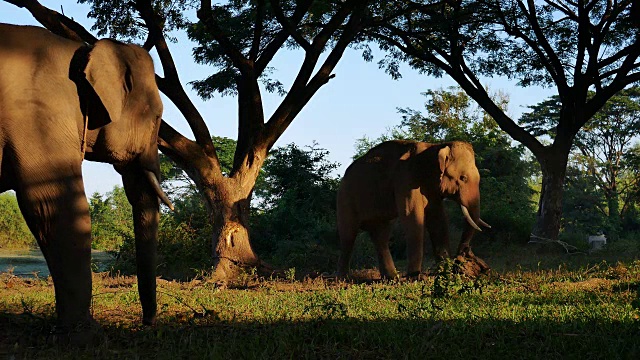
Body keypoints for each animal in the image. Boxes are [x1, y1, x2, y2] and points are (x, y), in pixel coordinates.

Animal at [338, 141, 492, 278]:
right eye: (463, 178)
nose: (462, 254)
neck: (435, 147)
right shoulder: (406, 180)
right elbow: (412, 216)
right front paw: (415, 277)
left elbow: (438, 219)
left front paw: (444, 270)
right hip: (345, 197)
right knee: (348, 235)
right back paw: (344, 279)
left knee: (381, 235)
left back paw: (392, 278)